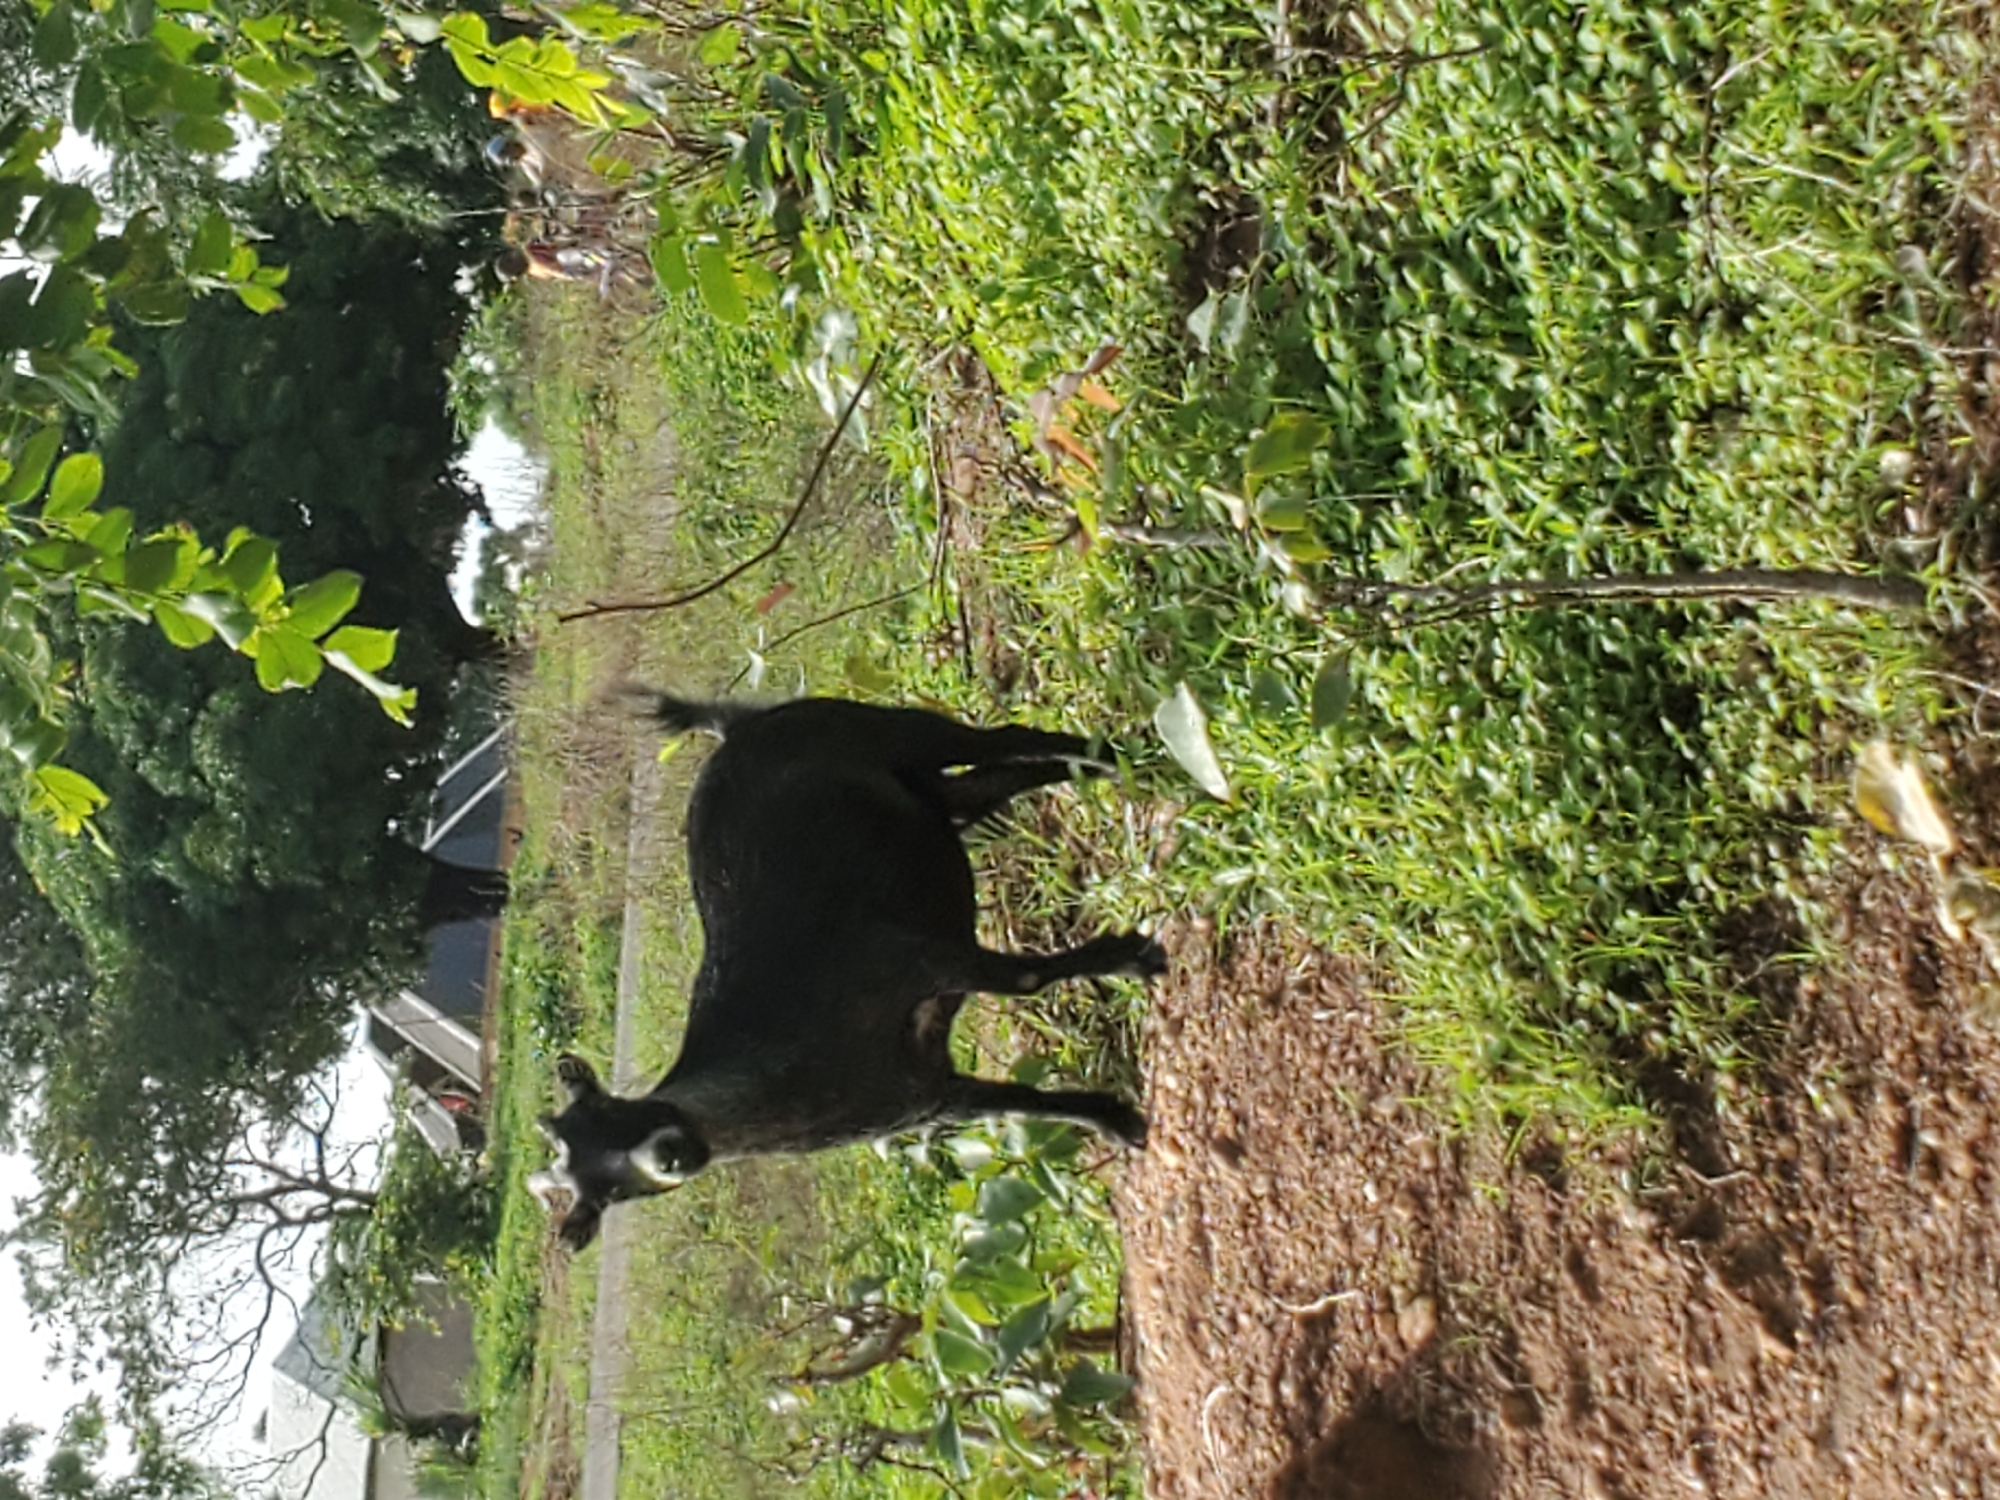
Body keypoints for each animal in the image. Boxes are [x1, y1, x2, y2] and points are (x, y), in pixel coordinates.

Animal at [531, 692, 1164, 1249]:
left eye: (611, 1108)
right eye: (605, 1198)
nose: (667, 1155)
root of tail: (732, 727)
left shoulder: (910, 960)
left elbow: (1026, 981)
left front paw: (1135, 958)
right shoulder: (927, 1095)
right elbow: (1020, 1102)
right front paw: (1117, 1121)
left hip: (886, 731)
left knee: (1001, 740)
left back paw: (1122, 755)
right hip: (927, 795)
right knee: (991, 782)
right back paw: (1117, 764)